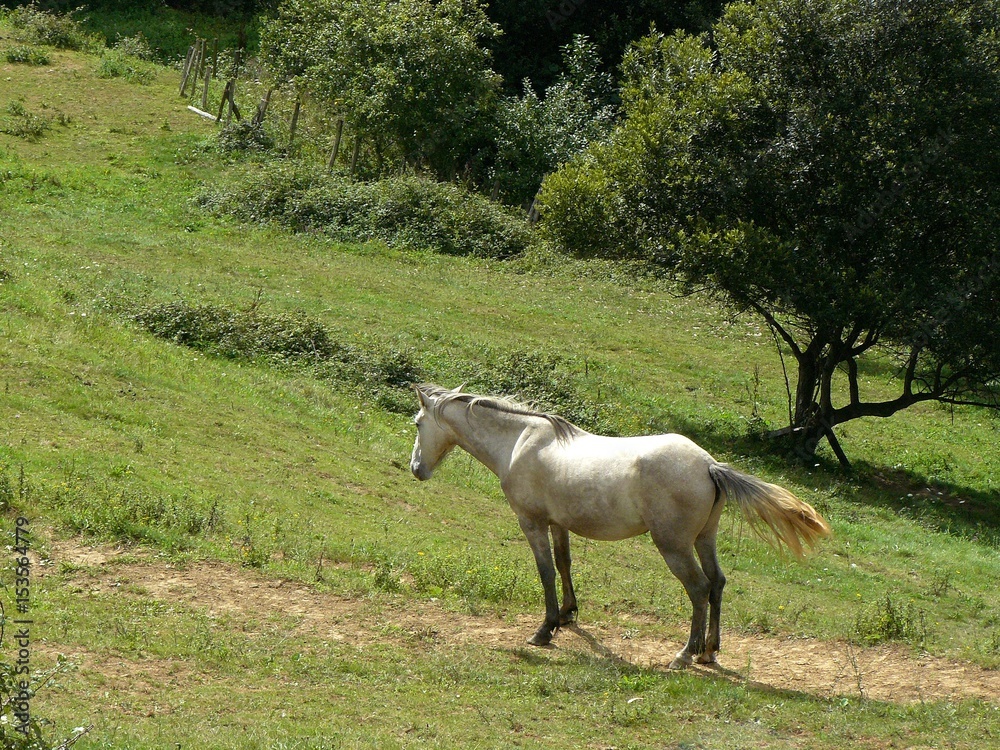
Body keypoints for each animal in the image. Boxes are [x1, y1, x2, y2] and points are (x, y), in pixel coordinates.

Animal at [409, 383, 830, 669]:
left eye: (417, 423)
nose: (416, 469)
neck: (519, 443)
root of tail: (710, 465)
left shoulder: (532, 522)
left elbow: (545, 572)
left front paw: (545, 630)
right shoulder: (558, 524)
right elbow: (564, 565)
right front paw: (568, 615)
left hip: (674, 546)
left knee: (698, 588)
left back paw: (685, 654)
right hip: (703, 539)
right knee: (717, 584)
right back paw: (709, 651)